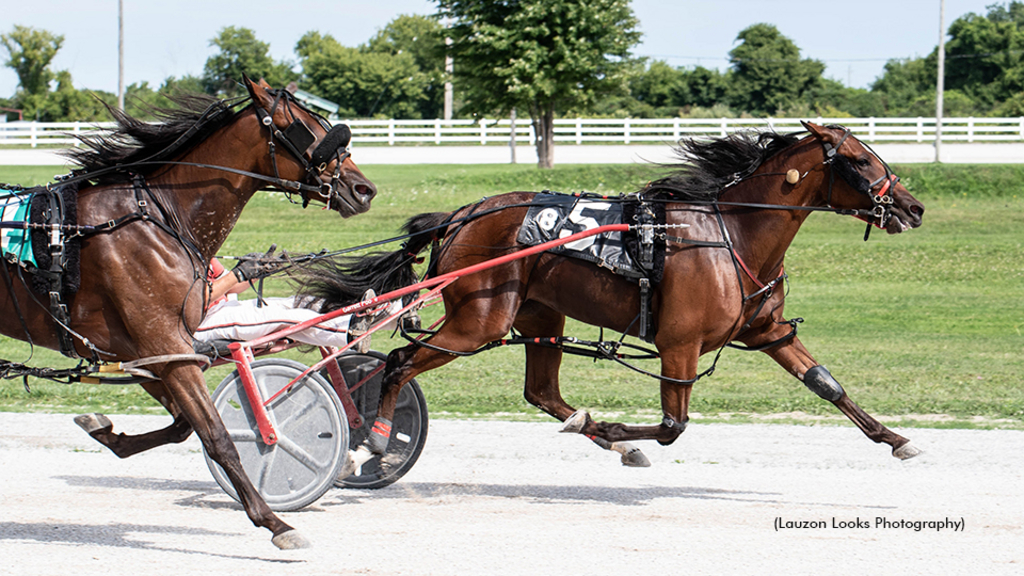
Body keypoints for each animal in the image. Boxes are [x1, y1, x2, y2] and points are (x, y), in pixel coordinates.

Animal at [0, 77, 376, 545]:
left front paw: (106, 431)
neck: (158, 218)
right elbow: (216, 434)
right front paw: (274, 522)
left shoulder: (150, 351)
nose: (363, 190)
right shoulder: (163, 342)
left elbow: (184, 424)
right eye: (305, 129)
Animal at [307, 119, 925, 467]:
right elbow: (674, 426)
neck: (730, 233)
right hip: (477, 320)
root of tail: (460, 215)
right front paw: (623, 430)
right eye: (862, 161)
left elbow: (827, 384)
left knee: (541, 392)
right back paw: (374, 439)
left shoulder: (765, 330)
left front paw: (896, 439)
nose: (914, 208)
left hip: (538, 316)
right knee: (398, 361)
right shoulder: (679, 343)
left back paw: (599, 433)